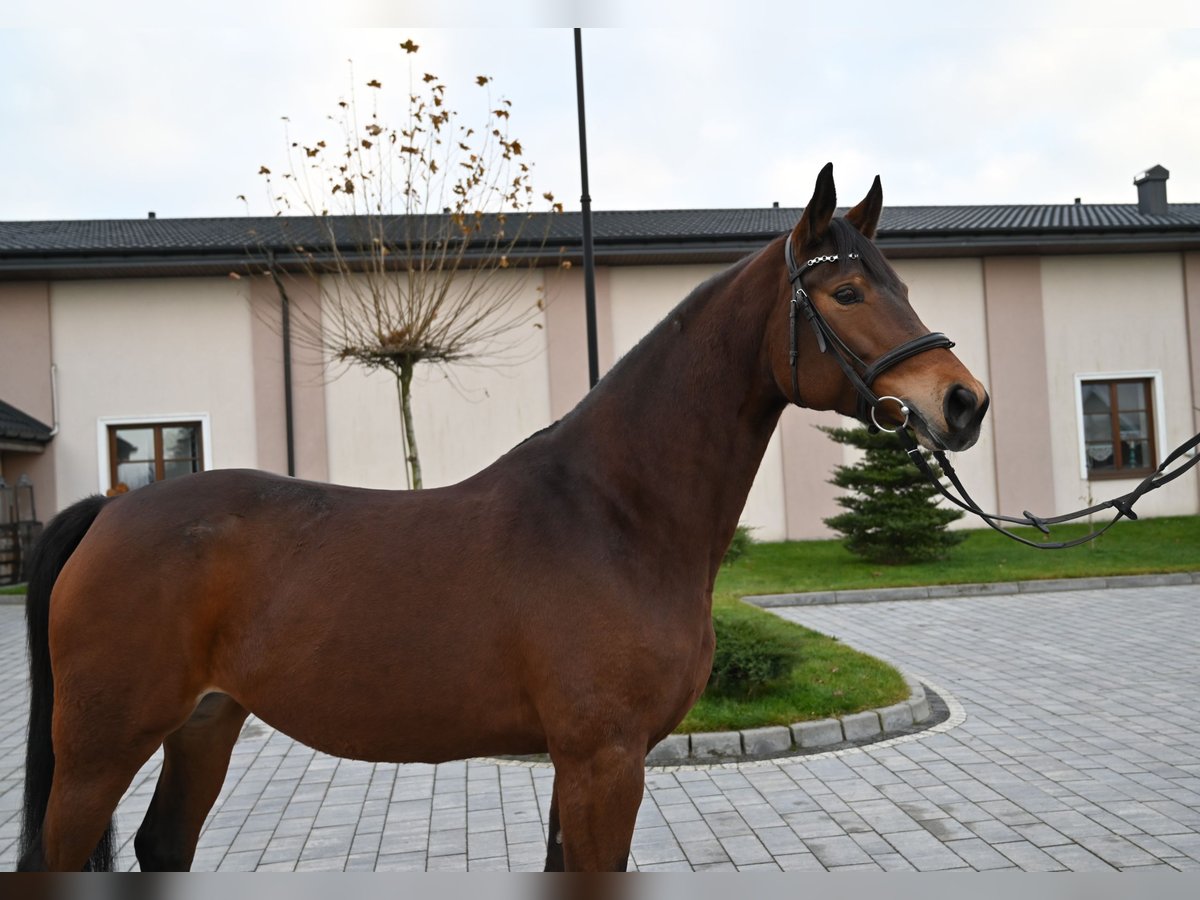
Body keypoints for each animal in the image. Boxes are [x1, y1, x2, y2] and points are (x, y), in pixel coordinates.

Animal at [18, 164, 988, 873]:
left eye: (900, 283)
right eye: (849, 294)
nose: (963, 403)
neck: (615, 514)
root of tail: (110, 512)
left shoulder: (580, 761)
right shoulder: (605, 759)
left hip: (204, 723)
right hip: (99, 748)